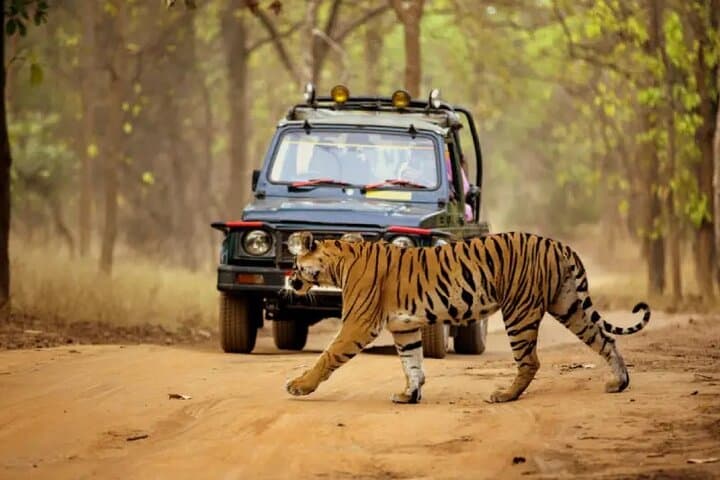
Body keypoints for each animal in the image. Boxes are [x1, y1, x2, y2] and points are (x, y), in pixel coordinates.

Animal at [284, 231, 650, 404]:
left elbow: (328, 356)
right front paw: (409, 396)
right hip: (569, 305)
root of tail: (557, 244)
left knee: (530, 360)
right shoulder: (404, 328)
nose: (290, 280)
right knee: (605, 339)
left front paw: (299, 385)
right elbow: (412, 364)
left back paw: (504, 396)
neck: (338, 262)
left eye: (296, 265)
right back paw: (619, 383)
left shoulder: (358, 324)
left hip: (519, 311)